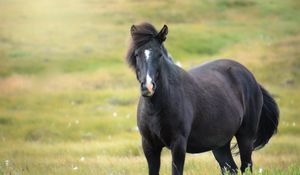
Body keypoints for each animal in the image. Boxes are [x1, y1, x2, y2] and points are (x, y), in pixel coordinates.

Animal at [125, 22, 278, 175]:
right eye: (137, 54)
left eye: (159, 55)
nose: (148, 87)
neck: (156, 108)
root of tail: (251, 78)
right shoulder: (149, 146)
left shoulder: (178, 144)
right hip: (220, 144)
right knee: (231, 168)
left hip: (245, 137)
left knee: (246, 166)